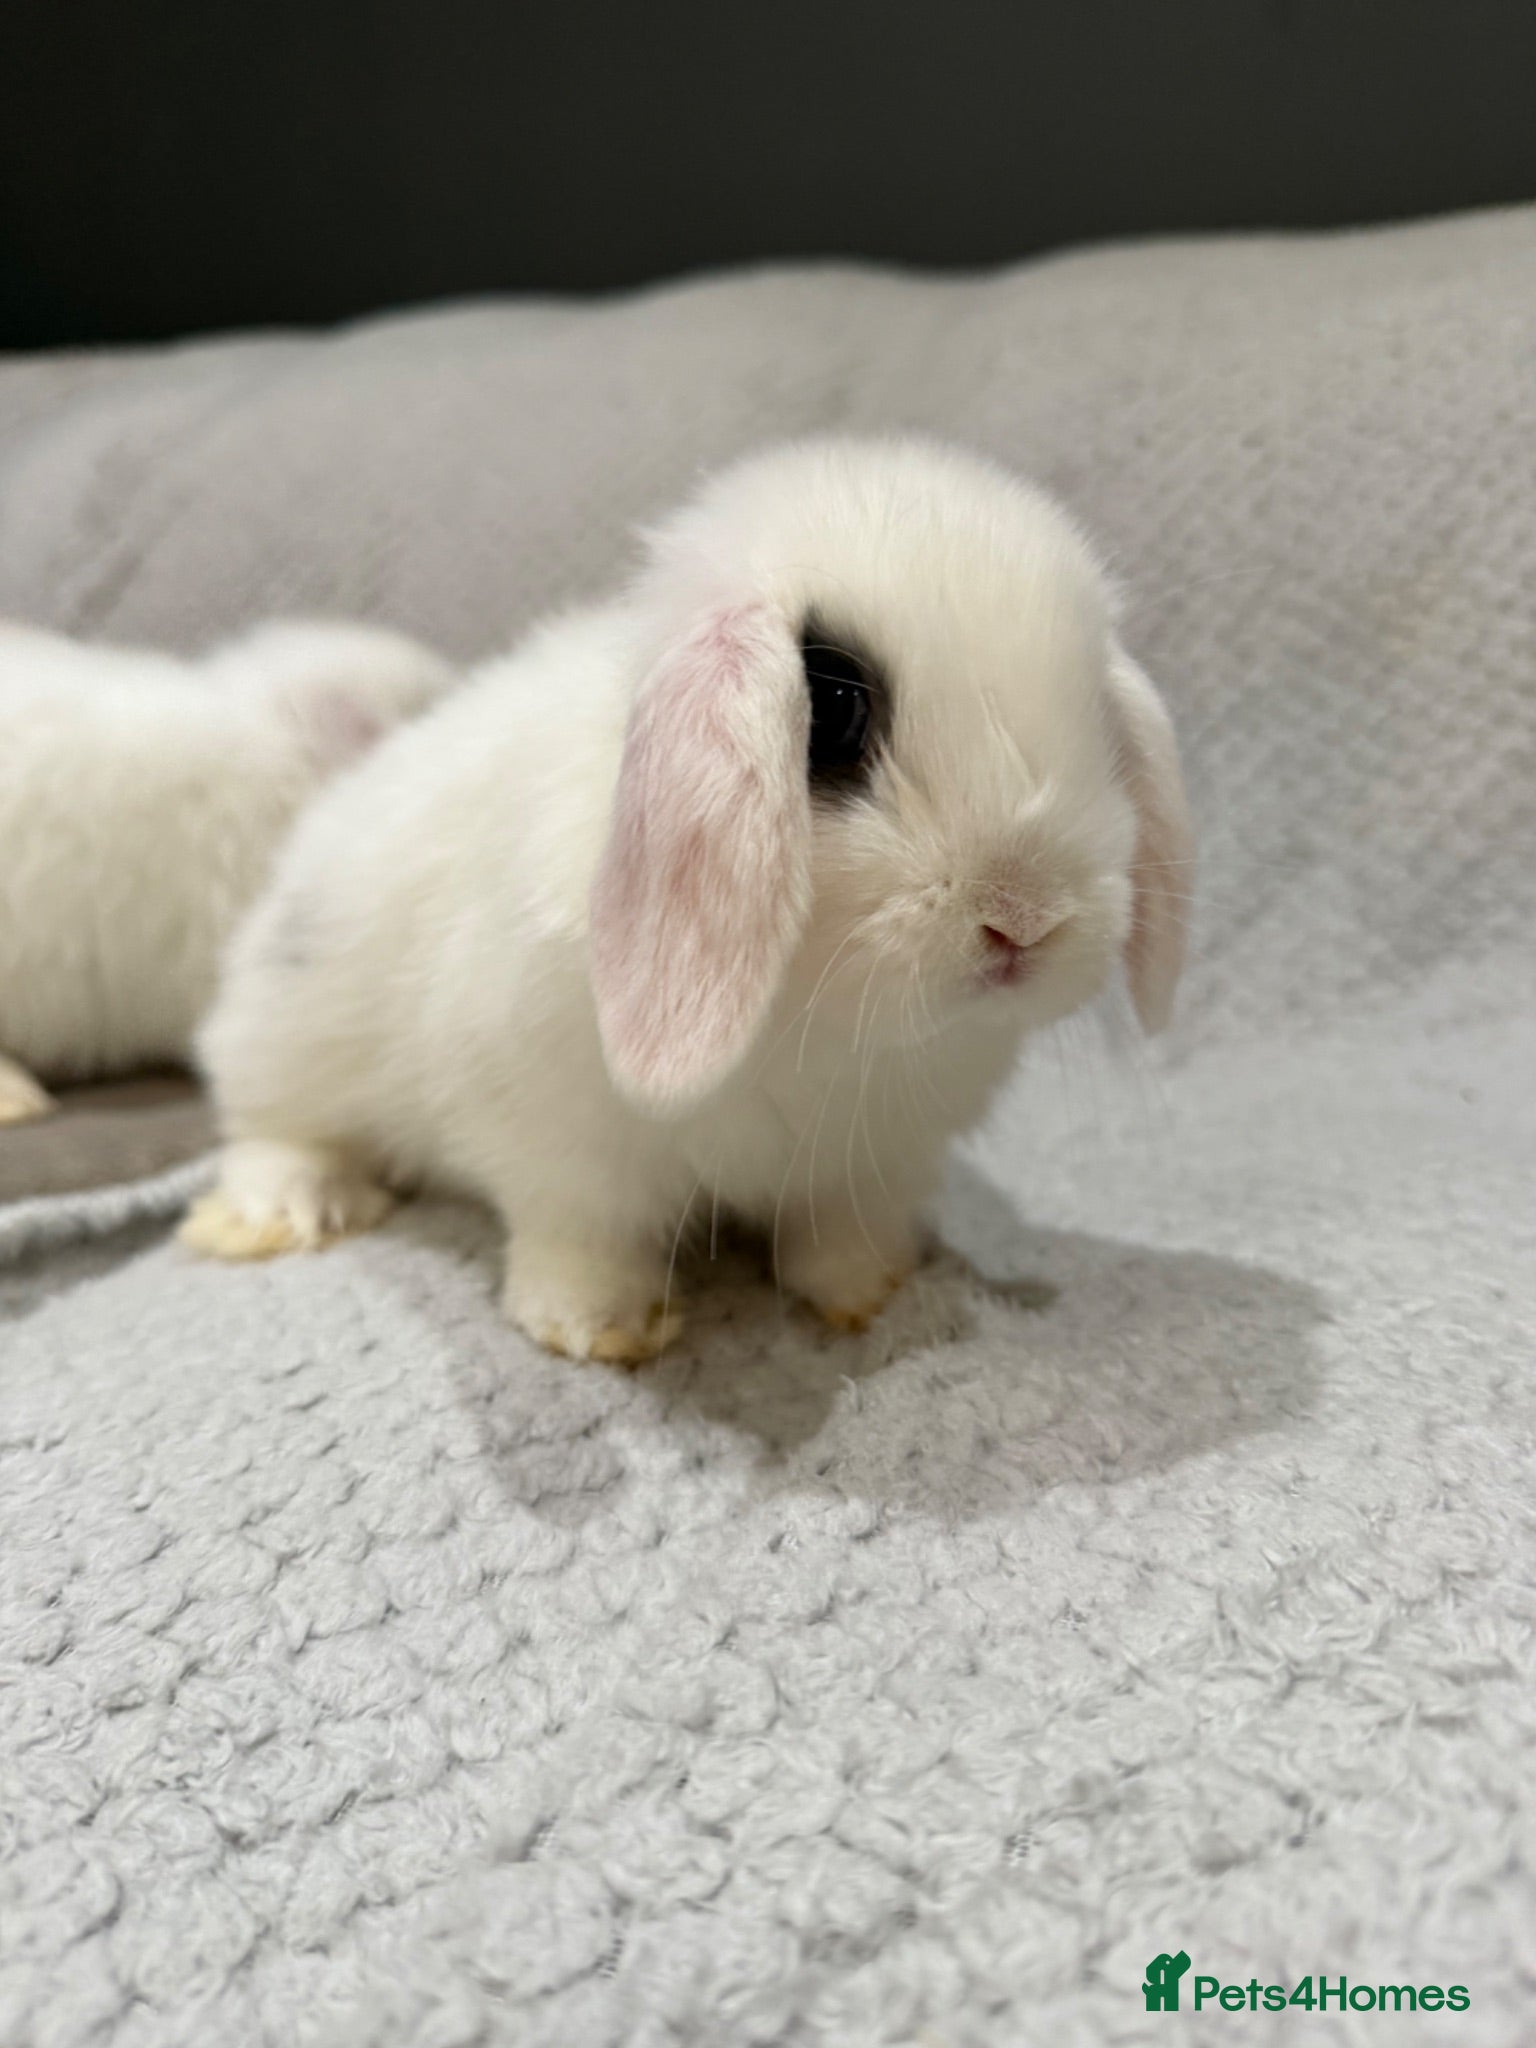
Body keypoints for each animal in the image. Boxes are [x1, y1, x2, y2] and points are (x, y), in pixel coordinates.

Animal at [183, 437, 1193, 1361]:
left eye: (1100, 723)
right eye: (833, 710)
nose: (1025, 916)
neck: (826, 1026)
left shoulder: (873, 1164)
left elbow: (840, 1235)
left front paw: (870, 1295)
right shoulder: (558, 1143)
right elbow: (581, 1235)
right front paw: (600, 1331)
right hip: (287, 1034)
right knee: (268, 1128)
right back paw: (279, 1215)